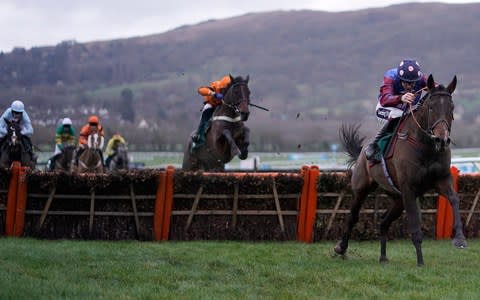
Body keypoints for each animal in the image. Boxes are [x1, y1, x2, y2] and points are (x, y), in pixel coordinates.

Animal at [336, 74, 466, 264]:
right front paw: (420, 262)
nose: (442, 140)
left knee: (384, 222)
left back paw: (383, 257)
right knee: (352, 216)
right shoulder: (409, 188)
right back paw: (341, 248)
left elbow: (454, 199)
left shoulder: (441, 180)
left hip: (398, 199)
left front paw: (460, 239)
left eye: (452, 108)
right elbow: (414, 224)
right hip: (361, 188)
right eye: (431, 107)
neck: (426, 146)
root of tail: (361, 152)